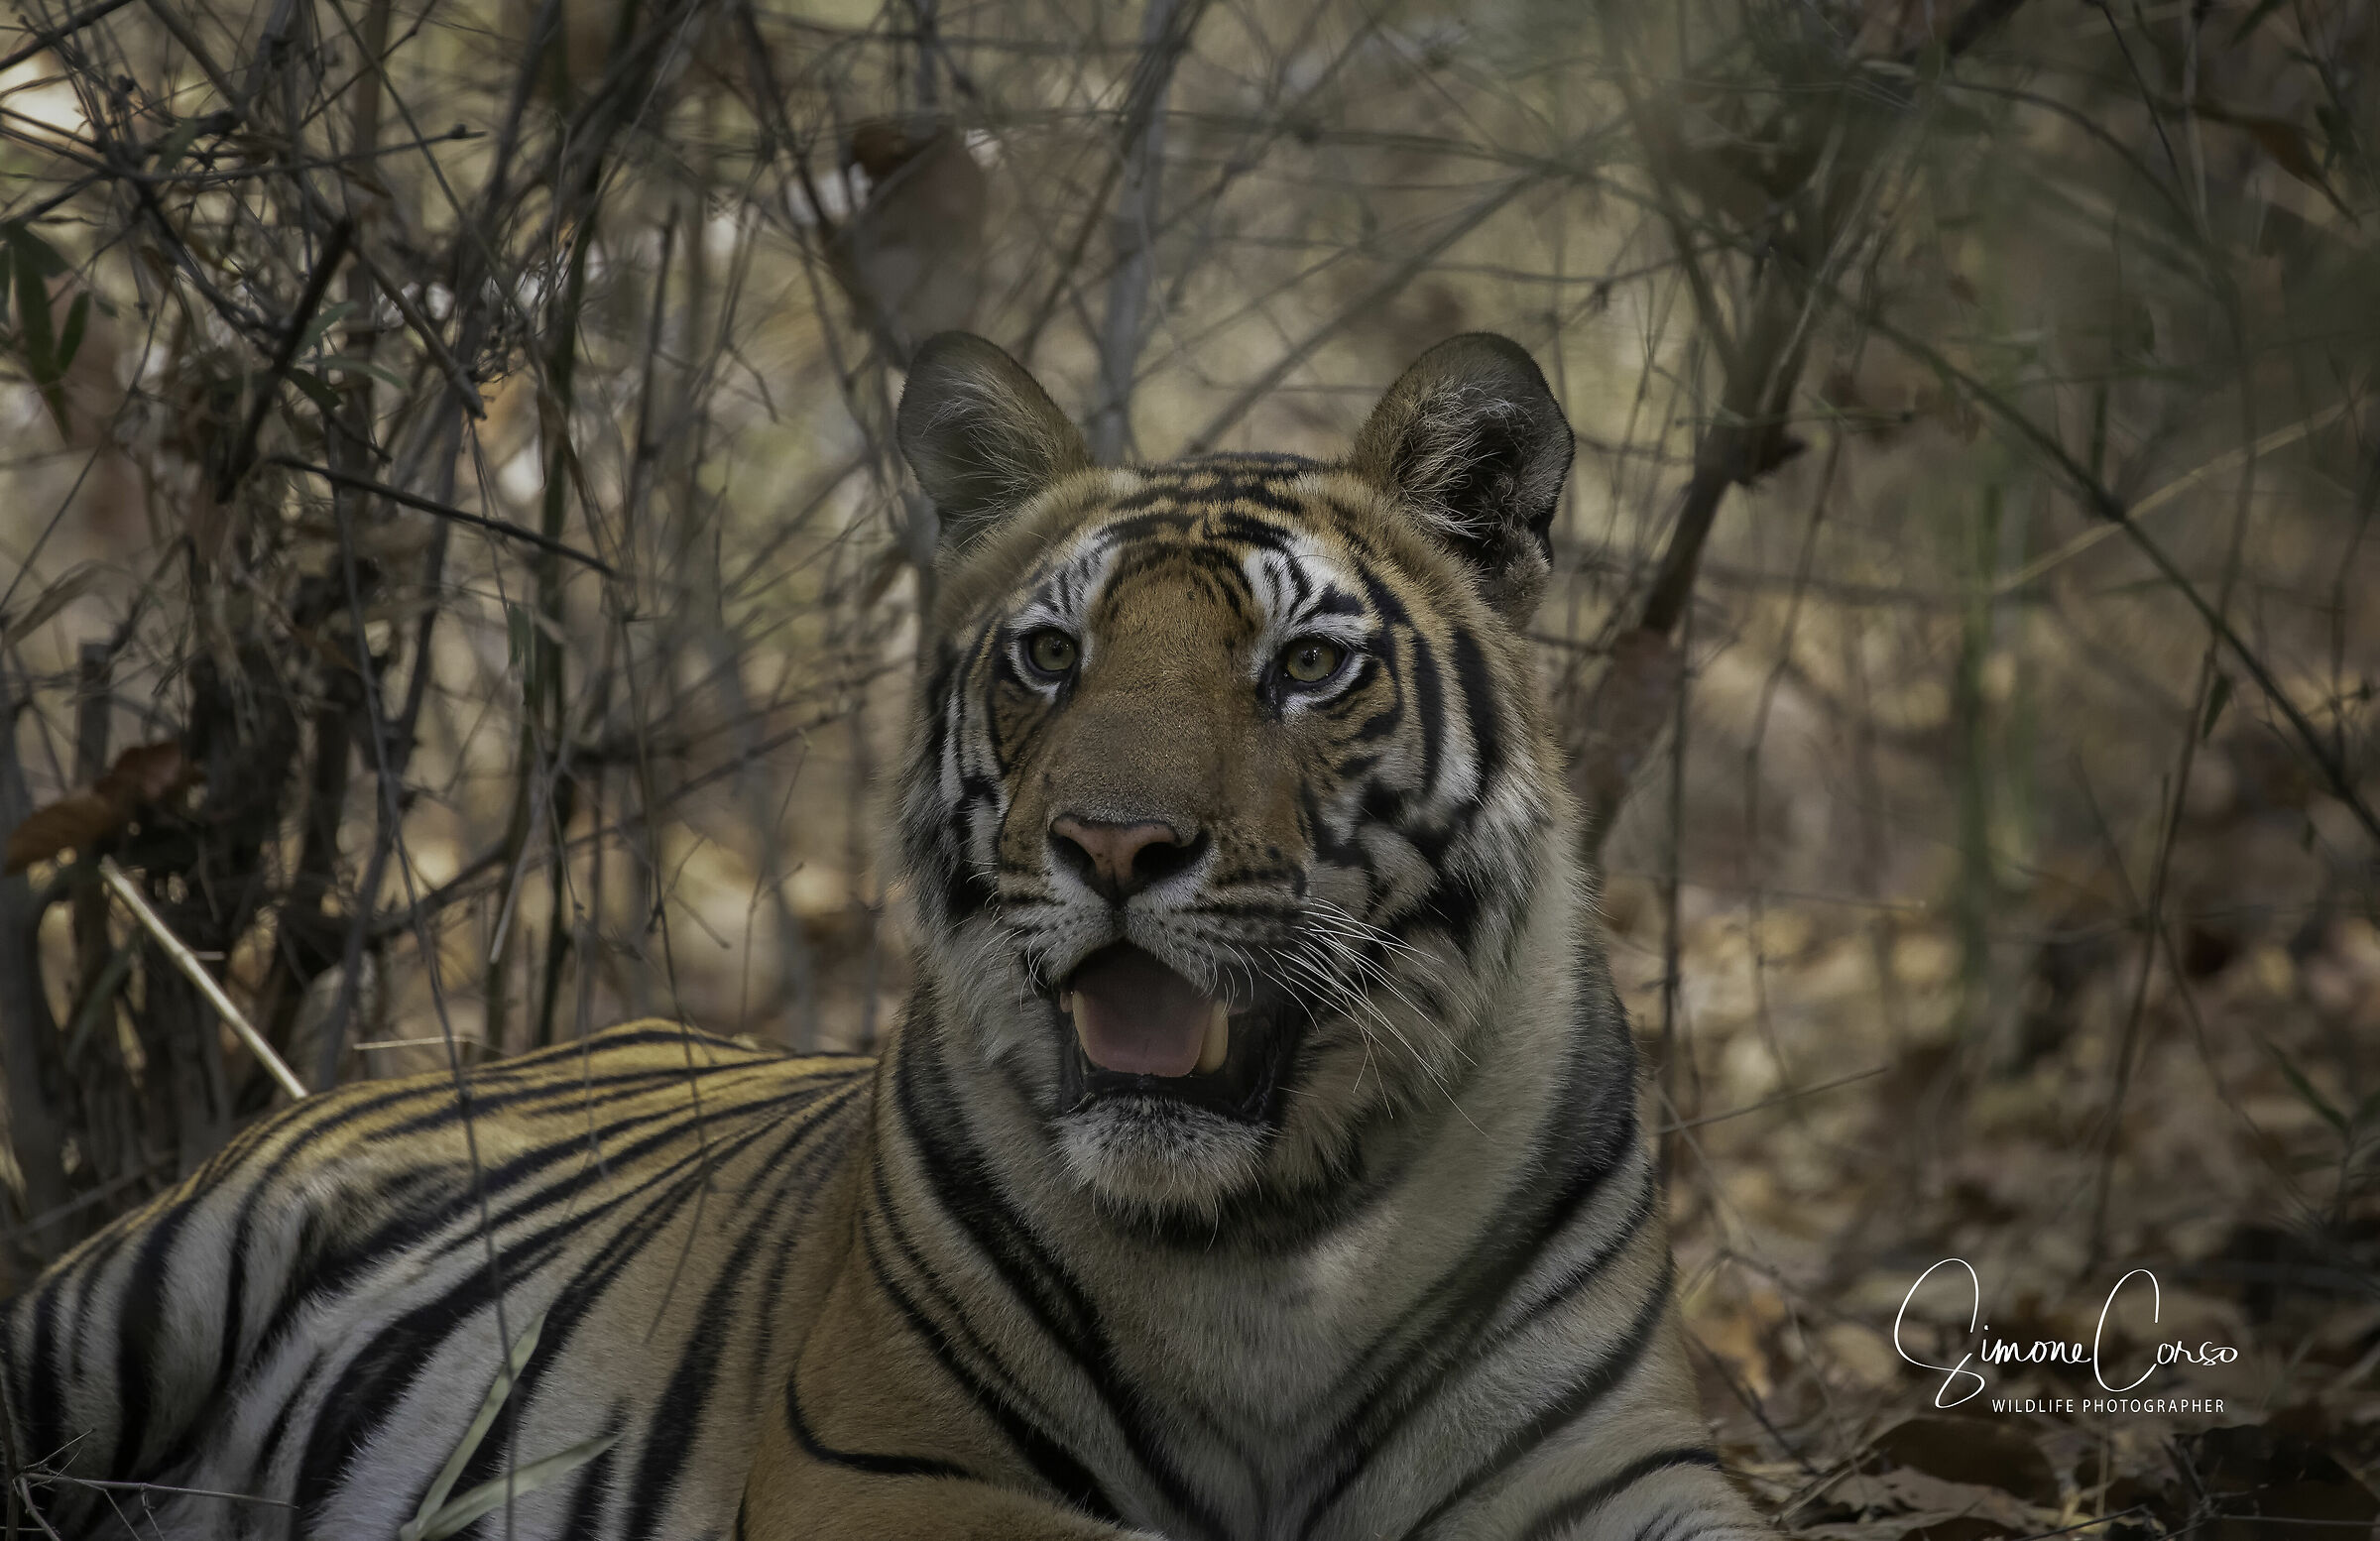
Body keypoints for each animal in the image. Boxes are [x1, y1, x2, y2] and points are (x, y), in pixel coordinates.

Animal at [2, 332, 1772, 1541]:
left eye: (1309, 665)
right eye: (1052, 655)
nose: (1111, 844)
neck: (1270, 1246)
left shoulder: (1617, 1470)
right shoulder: (883, 1468)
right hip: (119, 1306)